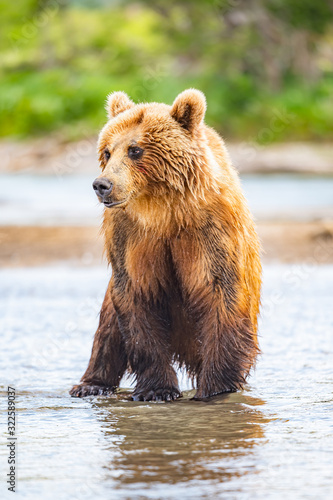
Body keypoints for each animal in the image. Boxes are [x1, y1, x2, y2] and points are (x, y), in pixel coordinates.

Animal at [70, 90, 260, 400]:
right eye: (107, 151)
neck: (163, 211)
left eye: (135, 149)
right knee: (108, 331)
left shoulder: (210, 231)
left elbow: (219, 292)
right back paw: (90, 385)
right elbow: (137, 295)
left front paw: (215, 388)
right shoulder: (131, 237)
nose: (102, 184)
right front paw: (156, 390)